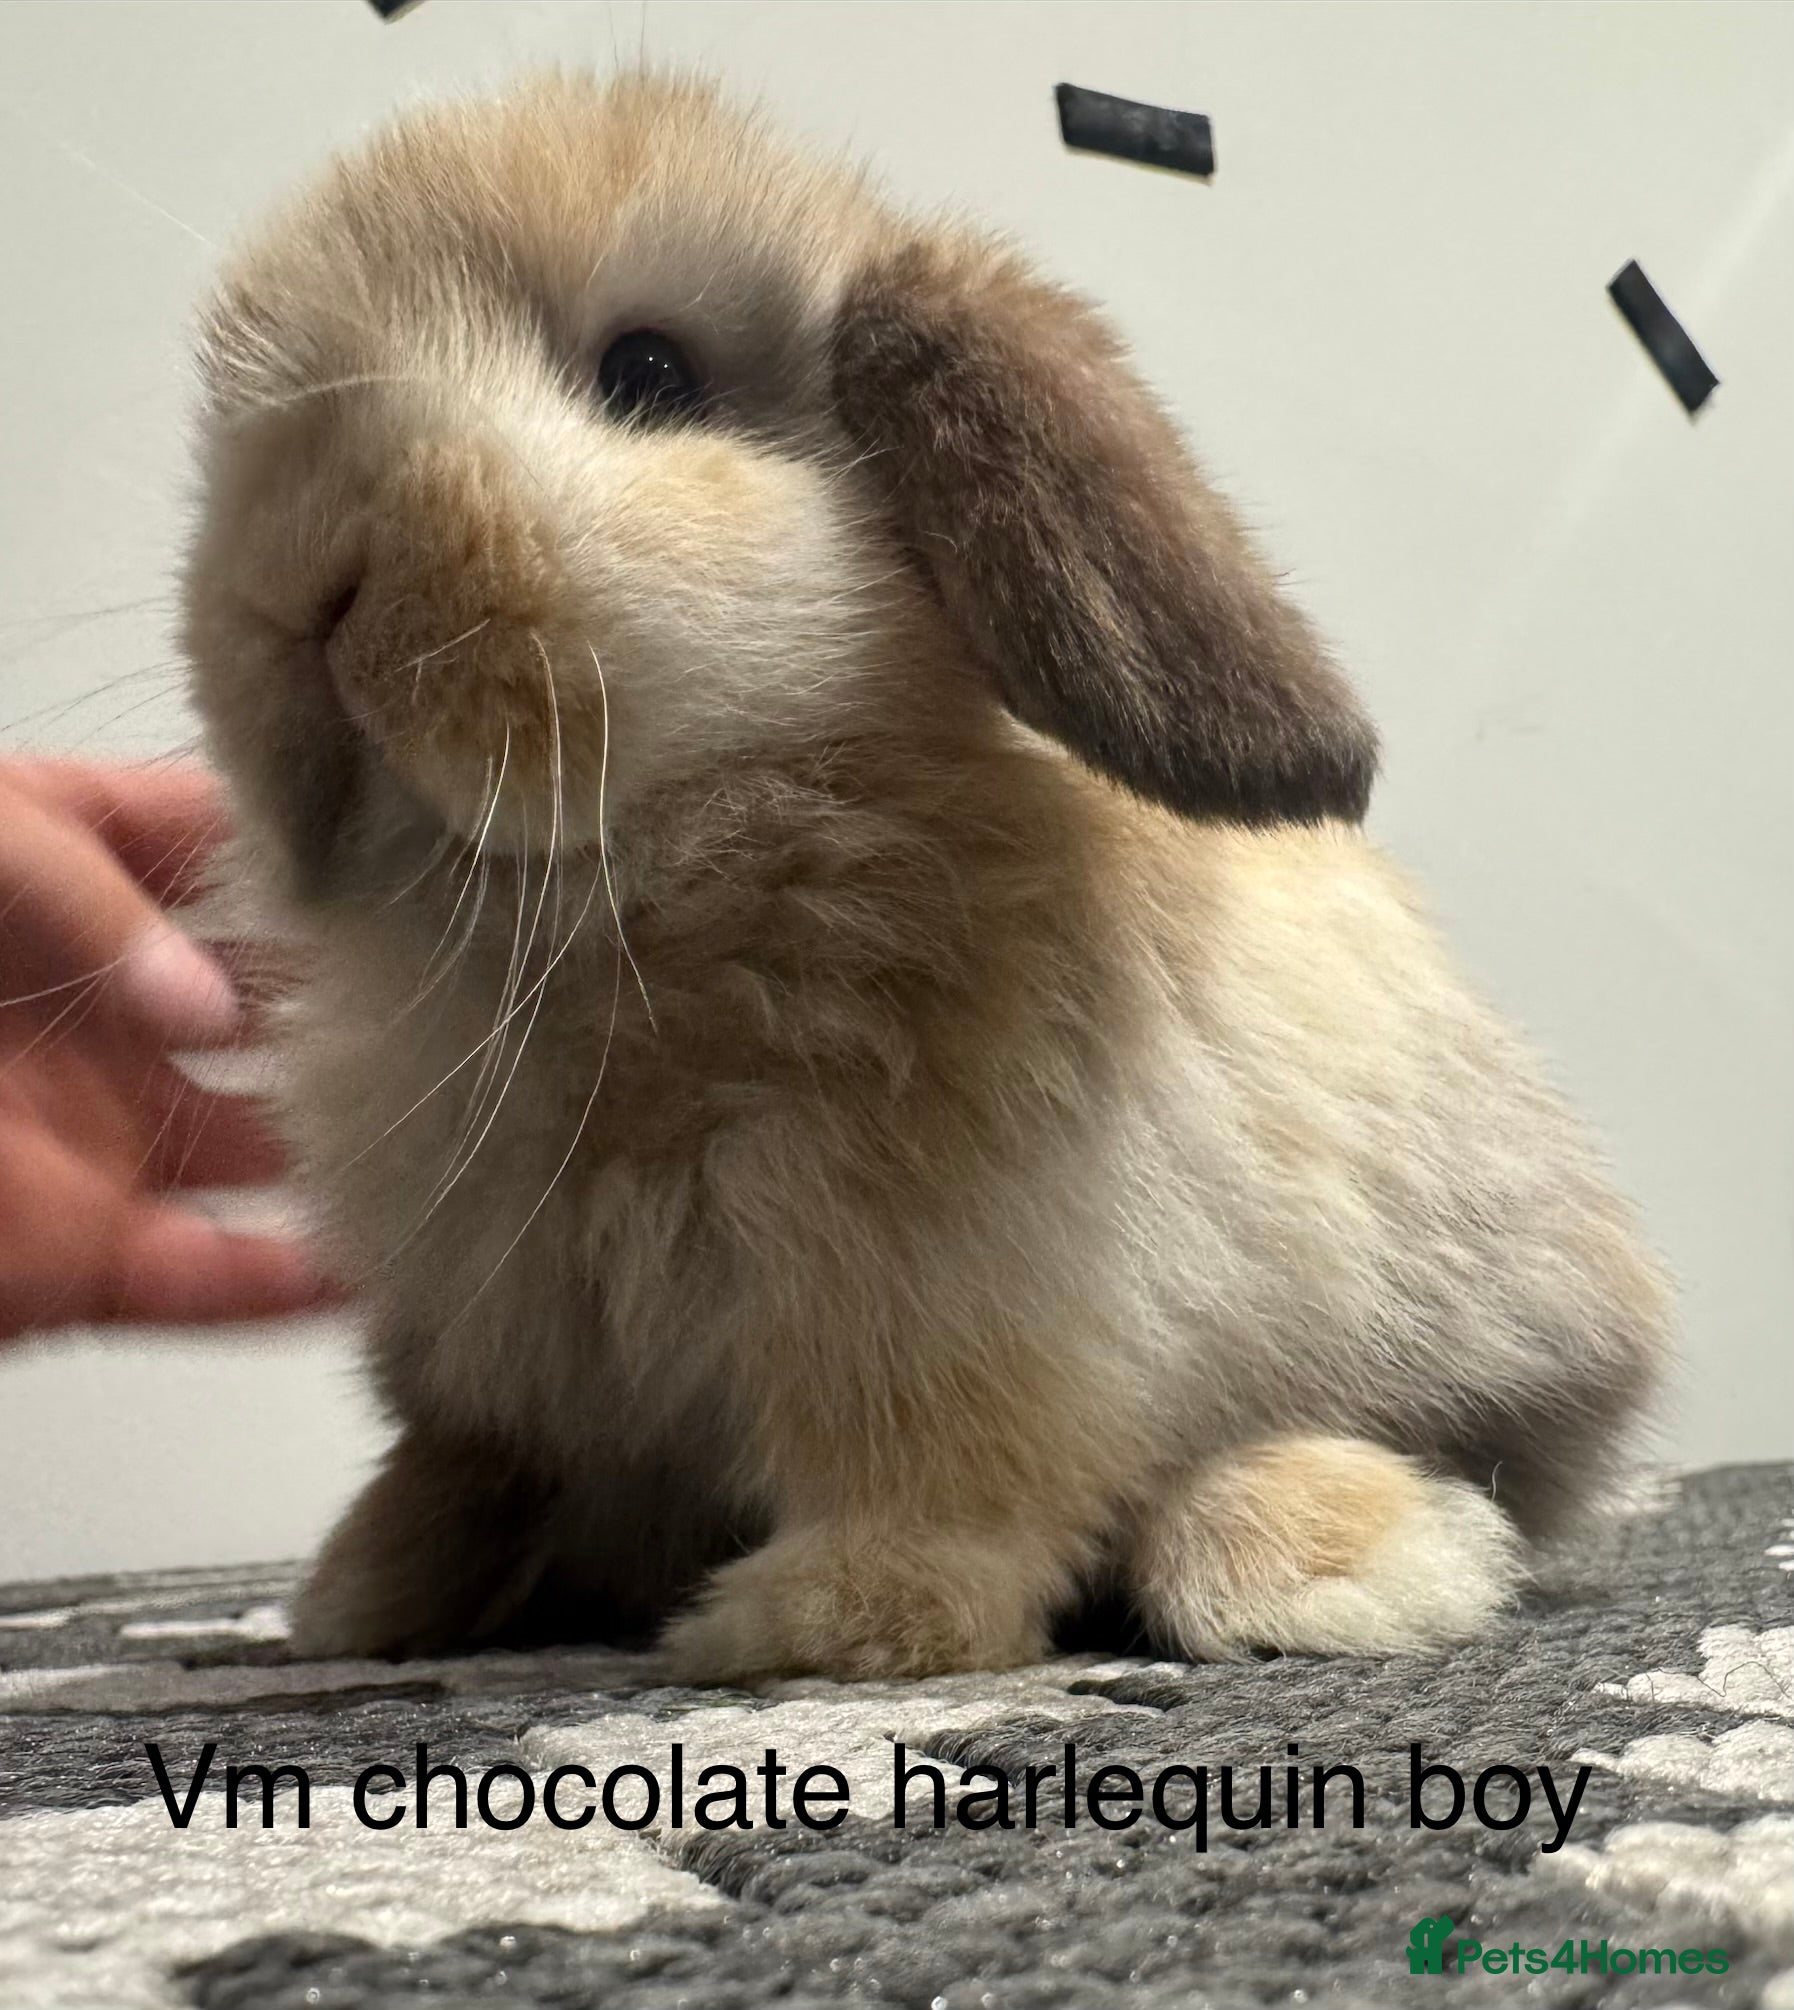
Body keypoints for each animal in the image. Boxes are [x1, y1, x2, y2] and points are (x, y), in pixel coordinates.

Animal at [180, 69, 1672, 1682]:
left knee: (1441, 1467)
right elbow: (463, 1461)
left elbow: (932, 1455)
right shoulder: (486, 1341)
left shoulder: (927, 1283)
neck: (610, 895)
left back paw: (1321, 1563)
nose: (294, 583)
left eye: (648, 373)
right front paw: (359, 1597)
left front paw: (826, 1618)